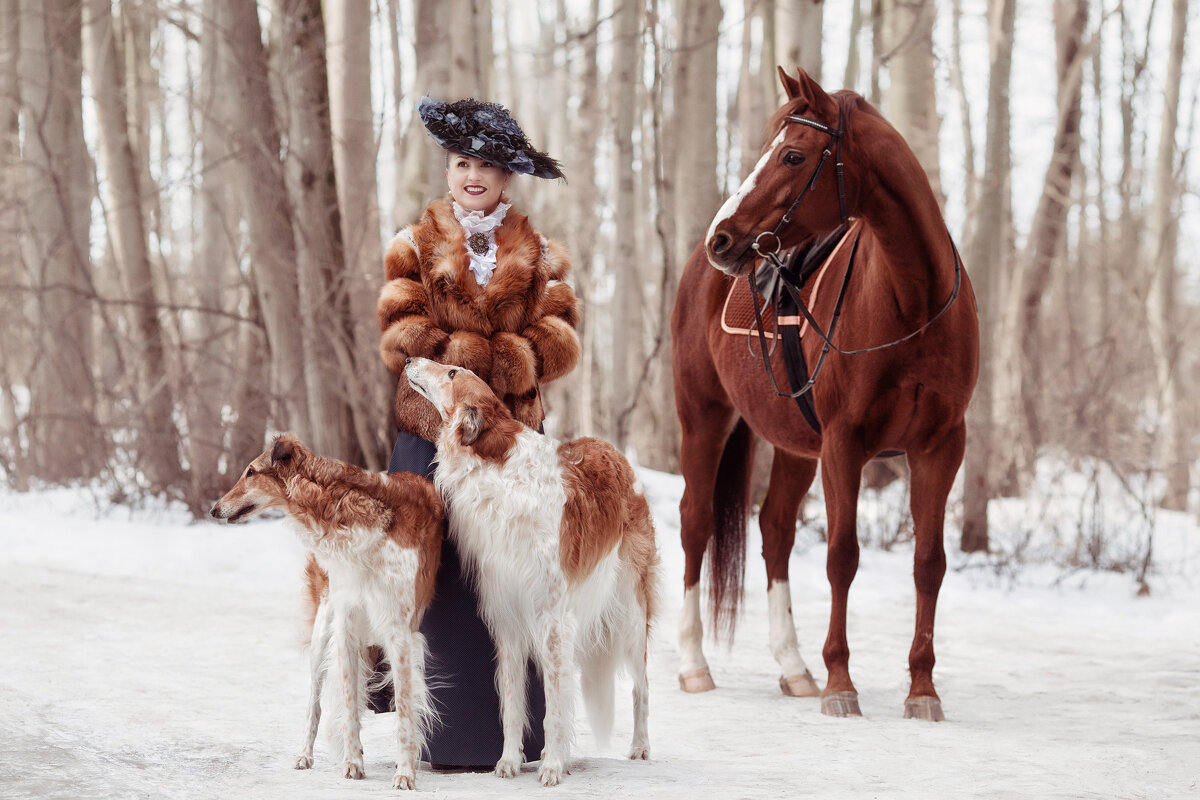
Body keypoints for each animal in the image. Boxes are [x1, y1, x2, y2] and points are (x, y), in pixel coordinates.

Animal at [212, 434, 446, 791]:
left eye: (251, 471)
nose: (213, 509)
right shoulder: (348, 627)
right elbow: (348, 705)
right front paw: (353, 763)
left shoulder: (400, 631)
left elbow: (405, 711)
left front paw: (405, 772)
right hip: (323, 634)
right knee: (315, 705)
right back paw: (304, 755)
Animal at [403, 357, 657, 786]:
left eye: (453, 372)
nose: (408, 360)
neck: (501, 471)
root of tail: (617, 453)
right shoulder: (508, 618)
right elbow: (512, 705)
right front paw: (508, 761)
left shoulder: (552, 619)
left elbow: (553, 707)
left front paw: (551, 766)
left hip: (631, 613)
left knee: (641, 686)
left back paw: (639, 746)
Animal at [672, 67, 979, 719]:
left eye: (792, 154)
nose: (722, 238)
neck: (912, 302)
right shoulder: (845, 444)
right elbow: (843, 556)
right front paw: (842, 683)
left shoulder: (941, 447)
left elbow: (929, 563)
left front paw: (922, 689)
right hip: (704, 418)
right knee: (695, 523)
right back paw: (693, 664)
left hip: (794, 444)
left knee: (776, 532)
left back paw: (794, 668)